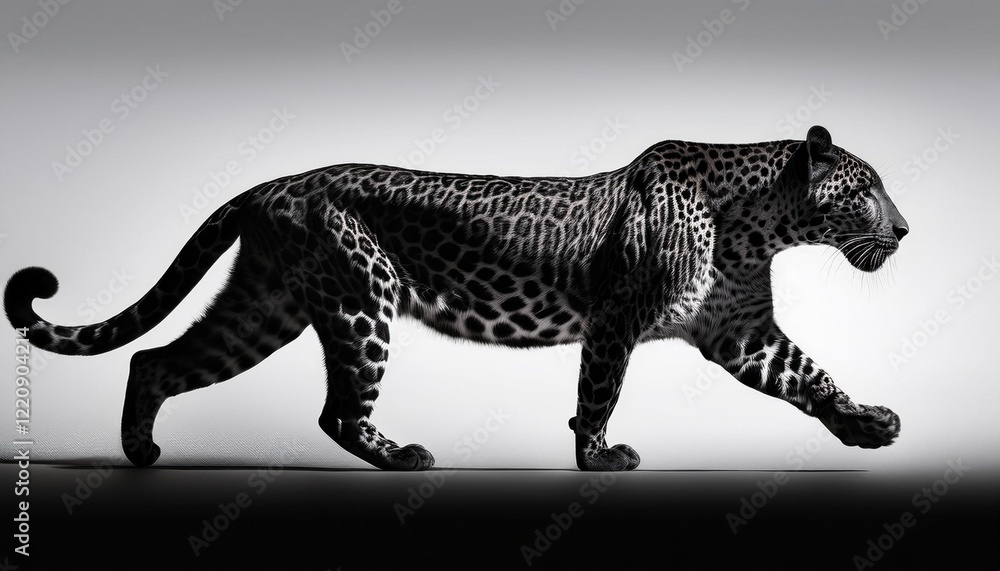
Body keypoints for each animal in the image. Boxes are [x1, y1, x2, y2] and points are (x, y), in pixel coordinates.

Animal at [5, 125, 907, 471]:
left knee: (157, 359)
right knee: (337, 410)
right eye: (865, 191)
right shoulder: (617, 319)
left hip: (265, 305)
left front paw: (868, 425)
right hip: (359, 296)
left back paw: (141, 451)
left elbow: (810, 374)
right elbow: (600, 389)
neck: (755, 225)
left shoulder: (740, 331)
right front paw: (595, 457)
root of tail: (277, 184)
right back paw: (403, 455)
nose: (903, 230)